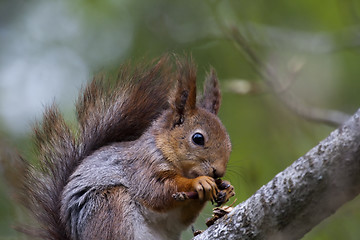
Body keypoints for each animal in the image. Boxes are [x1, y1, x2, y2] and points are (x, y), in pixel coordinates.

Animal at [11, 55, 233, 240]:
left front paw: (227, 188)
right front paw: (199, 182)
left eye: (229, 144)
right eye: (198, 138)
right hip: (110, 206)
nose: (218, 171)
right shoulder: (142, 167)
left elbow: (181, 216)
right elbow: (157, 191)